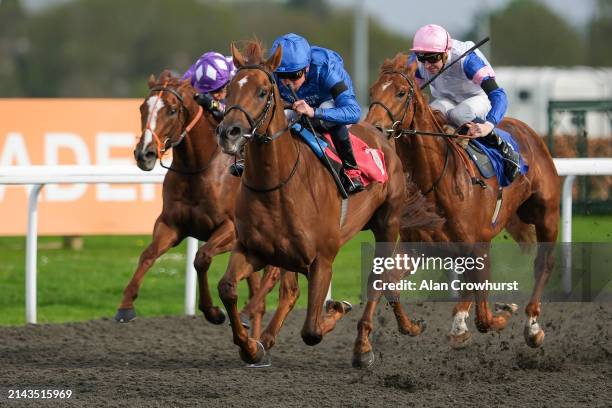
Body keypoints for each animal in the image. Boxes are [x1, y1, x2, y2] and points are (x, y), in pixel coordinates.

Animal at [117, 69, 280, 334]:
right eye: (142, 107)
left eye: (172, 110)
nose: (144, 154)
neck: (198, 168)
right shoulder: (171, 225)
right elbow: (148, 254)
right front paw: (125, 306)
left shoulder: (231, 229)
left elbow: (201, 257)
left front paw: (213, 311)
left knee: (274, 278)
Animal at [215, 39, 440, 368]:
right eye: (230, 88)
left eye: (263, 91)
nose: (227, 132)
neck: (277, 186)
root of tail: (380, 133)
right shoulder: (252, 250)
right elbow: (228, 288)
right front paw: (251, 346)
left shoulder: (322, 259)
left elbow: (311, 330)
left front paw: (338, 308)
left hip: (388, 222)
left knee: (379, 277)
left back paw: (365, 346)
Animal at [366, 53, 560, 348]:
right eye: (372, 91)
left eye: (400, 93)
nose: (373, 128)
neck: (435, 182)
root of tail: (528, 130)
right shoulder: (416, 245)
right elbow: (388, 279)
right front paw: (413, 326)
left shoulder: (479, 246)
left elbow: (485, 318)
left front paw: (506, 311)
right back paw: (459, 323)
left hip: (545, 215)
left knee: (543, 265)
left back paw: (533, 326)